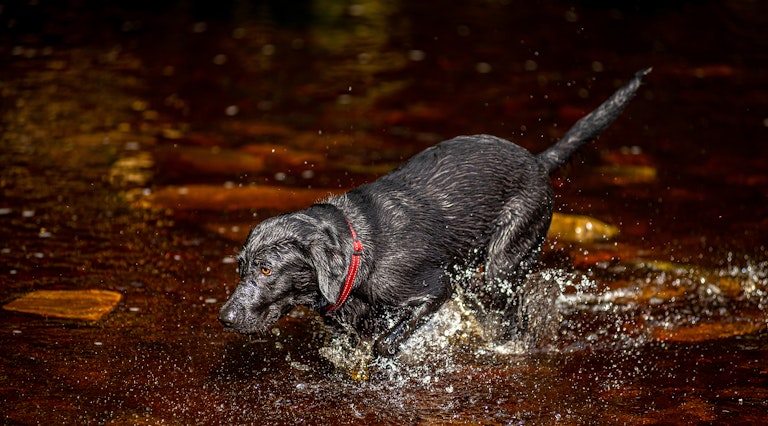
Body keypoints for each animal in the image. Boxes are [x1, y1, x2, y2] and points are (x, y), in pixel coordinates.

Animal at [219, 70, 652, 356]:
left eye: (266, 269)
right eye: (240, 267)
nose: (224, 316)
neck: (358, 252)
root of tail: (538, 162)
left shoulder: (433, 289)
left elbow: (388, 342)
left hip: (505, 262)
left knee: (514, 315)